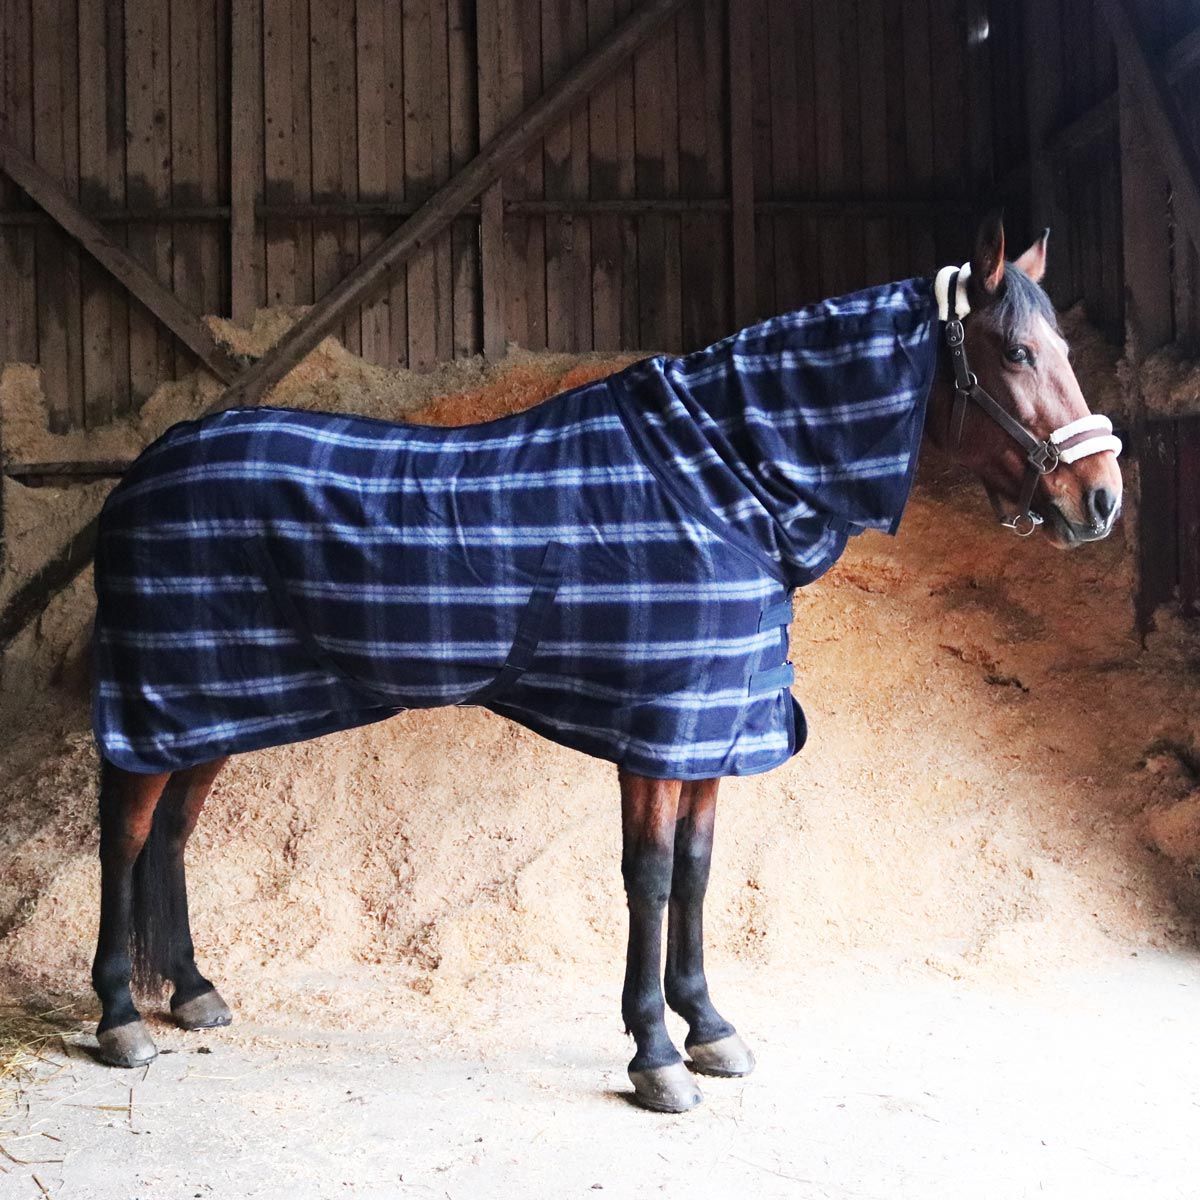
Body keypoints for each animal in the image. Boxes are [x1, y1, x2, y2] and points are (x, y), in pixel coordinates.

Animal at [86, 214, 1123, 1113]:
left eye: (1065, 352)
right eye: (1016, 353)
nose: (1101, 497)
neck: (719, 479)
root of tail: (148, 467)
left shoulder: (714, 729)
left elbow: (698, 873)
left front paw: (710, 1027)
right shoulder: (656, 731)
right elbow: (651, 877)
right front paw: (657, 1055)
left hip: (220, 705)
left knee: (173, 832)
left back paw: (191, 991)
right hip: (163, 699)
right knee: (128, 835)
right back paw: (120, 1019)